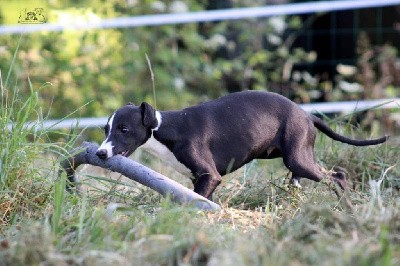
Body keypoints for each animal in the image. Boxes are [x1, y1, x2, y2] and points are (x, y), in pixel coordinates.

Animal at [96, 90, 388, 198]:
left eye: (124, 129)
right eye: (106, 129)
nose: (100, 153)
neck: (166, 129)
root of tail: (308, 116)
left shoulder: (209, 176)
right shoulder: (201, 179)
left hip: (298, 158)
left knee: (337, 176)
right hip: (291, 158)